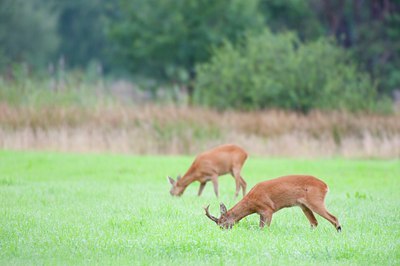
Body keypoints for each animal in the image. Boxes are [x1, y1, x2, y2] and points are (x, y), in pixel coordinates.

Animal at [206, 175, 340, 231]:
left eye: (222, 223)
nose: (222, 231)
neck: (251, 202)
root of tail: (325, 186)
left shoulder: (268, 209)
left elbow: (265, 228)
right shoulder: (261, 213)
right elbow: (260, 227)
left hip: (315, 200)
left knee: (333, 218)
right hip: (304, 206)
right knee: (314, 222)